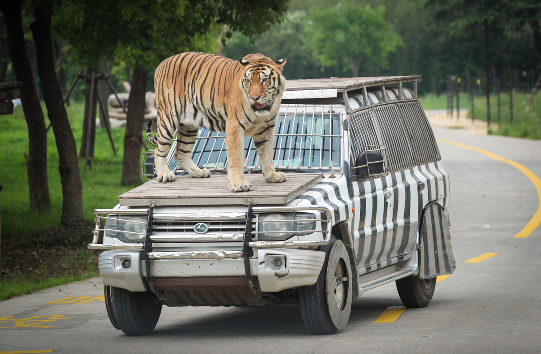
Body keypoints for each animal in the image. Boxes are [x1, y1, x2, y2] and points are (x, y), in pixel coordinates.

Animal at [143, 51, 286, 192]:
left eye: (264, 80)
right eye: (248, 81)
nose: (254, 98)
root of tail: (162, 63)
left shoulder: (267, 128)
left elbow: (267, 153)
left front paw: (272, 175)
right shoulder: (235, 126)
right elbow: (236, 157)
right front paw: (238, 184)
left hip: (188, 125)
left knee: (180, 153)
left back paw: (199, 172)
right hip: (168, 117)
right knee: (159, 150)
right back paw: (165, 174)